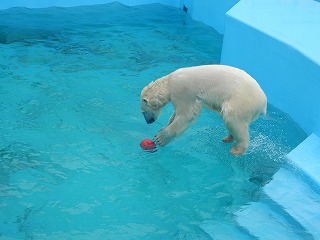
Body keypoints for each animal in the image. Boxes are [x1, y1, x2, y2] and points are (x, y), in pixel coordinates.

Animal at [140, 64, 268, 157]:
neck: (169, 82)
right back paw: (228, 138)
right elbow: (176, 114)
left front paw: (161, 138)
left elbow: (185, 115)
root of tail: (263, 101)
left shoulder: (181, 91)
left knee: (232, 117)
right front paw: (163, 128)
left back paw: (237, 150)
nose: (148, 121)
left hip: (240, 100)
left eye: (143, 112)